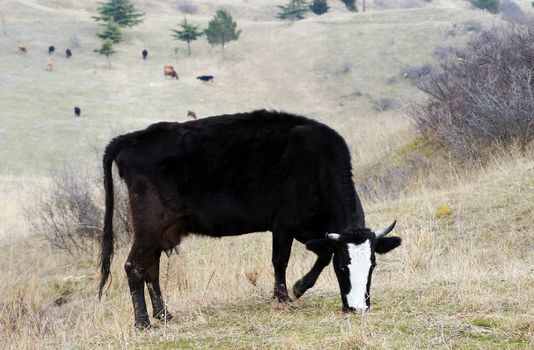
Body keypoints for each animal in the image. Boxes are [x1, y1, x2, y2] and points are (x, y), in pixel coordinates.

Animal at [99, 110, 402, 328]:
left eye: (373, 266)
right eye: (344, 268)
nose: (358, 308)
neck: (317, 166)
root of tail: (132, 138)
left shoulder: (315, 231)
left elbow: (322, 255)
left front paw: (299, 287)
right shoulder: (283, 225)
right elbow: (281, 260)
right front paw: (284, 296)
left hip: (161, 231)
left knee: (151, 268)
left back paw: (164, 315)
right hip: (150, 226)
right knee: (133, 266)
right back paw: (143, 323)